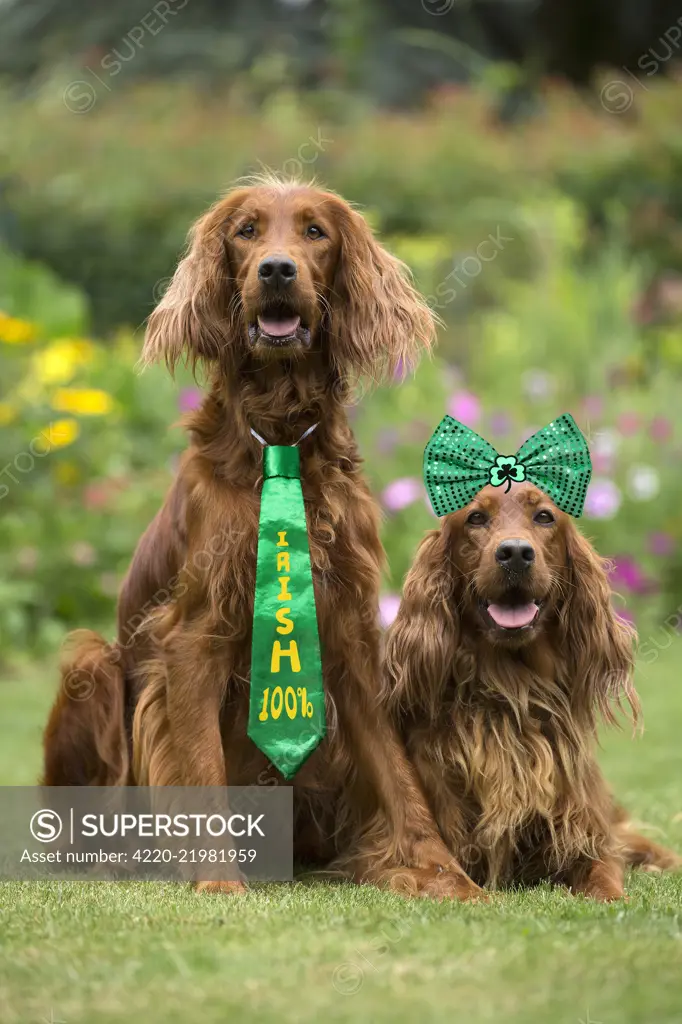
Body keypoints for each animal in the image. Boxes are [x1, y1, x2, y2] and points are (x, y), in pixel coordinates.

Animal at [42, 180, 481, 901]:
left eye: (314, 231)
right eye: (246, 231)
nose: (277, 270)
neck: (277, 439)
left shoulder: (350, 632)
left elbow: (398, 775)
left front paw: (443, 874)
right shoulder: (193, 636)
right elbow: (200, 766)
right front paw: (219, 880)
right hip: (93, 664)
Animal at [378, 413, 675, 897]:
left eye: (544, 516)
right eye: (476, 517)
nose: (515, 552)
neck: (511, 690)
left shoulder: (585, 830)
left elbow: (606, 874)